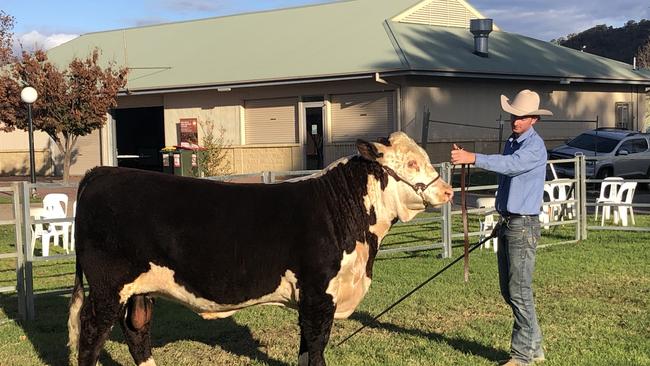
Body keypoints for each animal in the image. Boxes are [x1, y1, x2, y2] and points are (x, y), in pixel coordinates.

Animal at [67, 132, 450, 366]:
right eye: (412, 163)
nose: (446, 191)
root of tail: (102, 172)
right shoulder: (318, 296)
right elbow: (316, 349)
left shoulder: (310, 300)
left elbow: (305, 351)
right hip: (107, 288)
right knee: (91, 333)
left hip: (140, 290)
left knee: (137, 330)